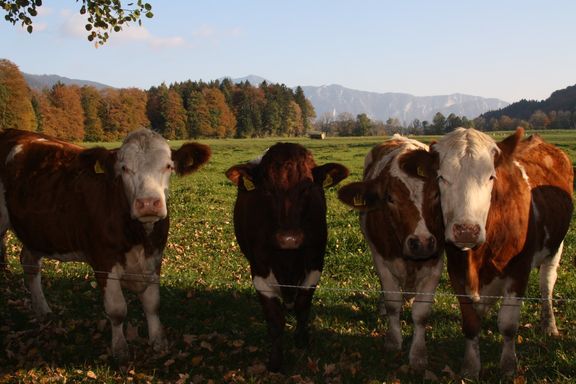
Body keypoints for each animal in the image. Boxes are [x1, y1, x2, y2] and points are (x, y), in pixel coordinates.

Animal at [0, 129, 210, 364]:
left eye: (168, 166)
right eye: (124, 168)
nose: (148, 203)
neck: (138, 238)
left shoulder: (155, 257)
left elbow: (153, 304)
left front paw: (158, 341)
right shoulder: (103, 261)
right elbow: (117, 310)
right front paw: (120, 349)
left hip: (37, 232)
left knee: (29, 263)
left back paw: (43, 311)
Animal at [226, 142, 348, 370]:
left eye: (308, 188)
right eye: (266, 190)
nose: (288, 238)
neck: (288, 260)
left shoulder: (315, 264)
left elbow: (303, 306)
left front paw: (301, 339)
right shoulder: (259, 271)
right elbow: (275, 320)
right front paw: (275, 361)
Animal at [338, 136, 446, 372]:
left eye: (436, 194)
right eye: (389, 198)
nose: (421, 243)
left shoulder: (435, 263)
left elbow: (421, 312)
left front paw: (418, 353)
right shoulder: (381, 259)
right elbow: (393, 302)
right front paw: (393, 340)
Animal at [432, 127, 572, 378]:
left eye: (491, 177)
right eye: (441, 177)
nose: (466, 230)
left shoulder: (519, 270)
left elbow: (508, 325)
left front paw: (508, 366)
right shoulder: (456, 271)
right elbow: (470, 323)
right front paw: (470, 368)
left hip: (557, 245)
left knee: (547, 283)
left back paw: (549, 325)